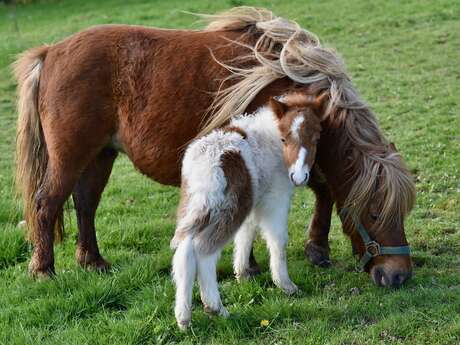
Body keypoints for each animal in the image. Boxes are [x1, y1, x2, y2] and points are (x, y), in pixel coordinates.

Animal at [14, 7, 416, 288]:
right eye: (375, 213)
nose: (399, 276)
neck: (287, 82)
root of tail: (51, 52)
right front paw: (253, 267)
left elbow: (324, 189)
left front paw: (317, 248)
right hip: (70, 156)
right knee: (46, 203)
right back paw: (45, 270)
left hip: (100, 155)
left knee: (85, 204)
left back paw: (93, 261)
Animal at [169, 93, 324, 328]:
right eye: (284, 139)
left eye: (315, 139)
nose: (298, 177)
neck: (270, 140)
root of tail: (208, 165)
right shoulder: (275, 199)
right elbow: (278, 240)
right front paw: (286, 285)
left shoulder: (253, 201)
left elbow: (246, 234)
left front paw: (242, 275)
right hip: (228, 209)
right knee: (204, 252)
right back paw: (216, 308)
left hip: (196, 207)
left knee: (185, 252)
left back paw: (184, 318)